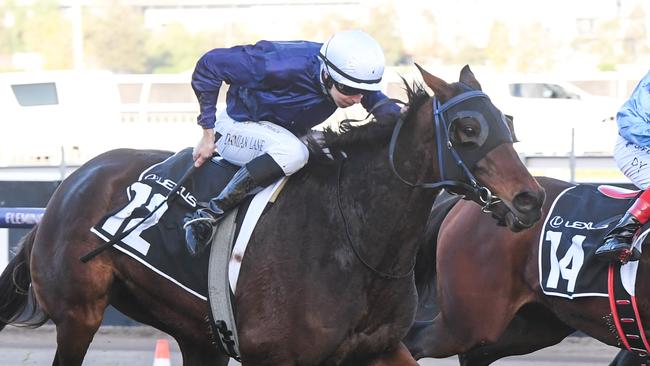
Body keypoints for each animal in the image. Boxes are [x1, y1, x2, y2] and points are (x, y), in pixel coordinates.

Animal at [0, 64, 544, 364]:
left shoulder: (379, 348)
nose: (530, 199)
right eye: (467, 128)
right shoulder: (277, 356)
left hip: (198, 337)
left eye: (507, 119)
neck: (354, 239)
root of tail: (67, 188)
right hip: (79, 315)